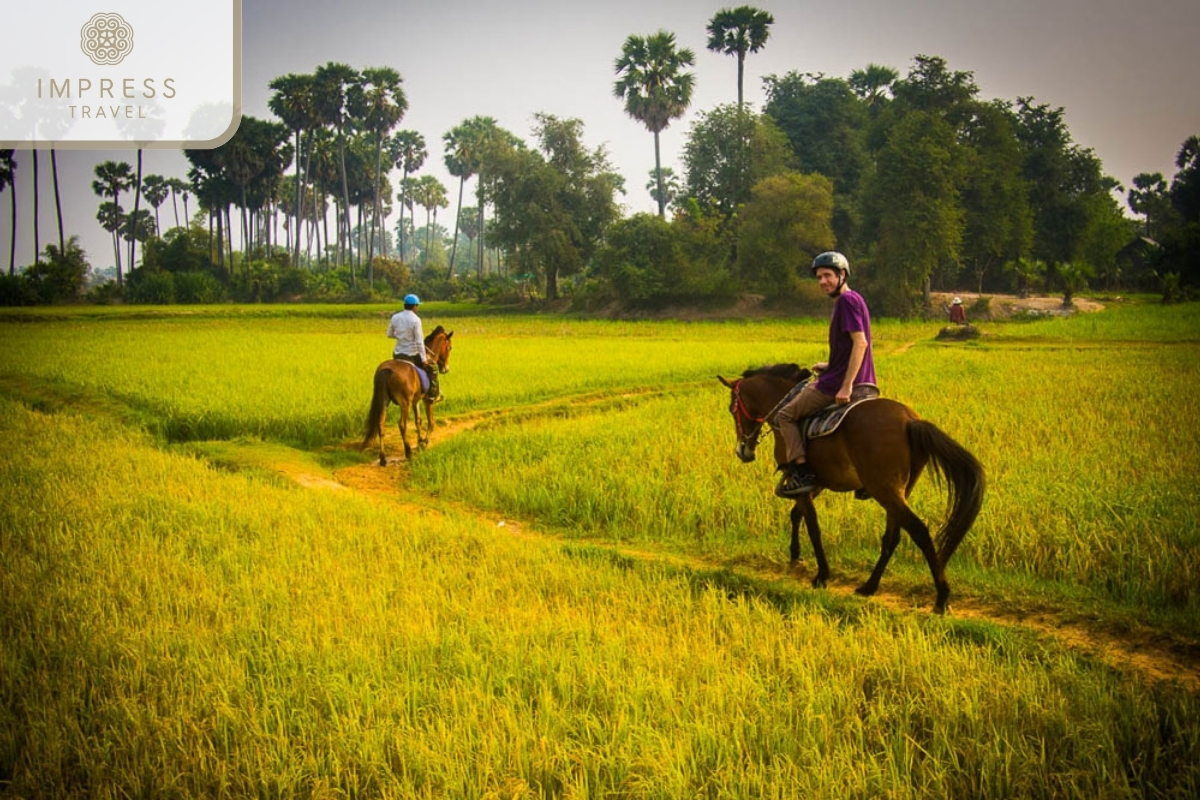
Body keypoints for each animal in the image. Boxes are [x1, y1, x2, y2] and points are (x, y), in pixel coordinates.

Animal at [360, 326, 453, 462]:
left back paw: (383, 458)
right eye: (450, 347)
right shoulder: (426, 400)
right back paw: (408, 452)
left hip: (384, 400)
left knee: (380, 423)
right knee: (402, 424)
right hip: (405, 403)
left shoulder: (416, 400)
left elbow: (418, 420)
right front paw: (424, 443)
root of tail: (386, 370)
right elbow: (431, 422)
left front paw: (420, 441)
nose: (445, 369)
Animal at [720, 362, 984, 614]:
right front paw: (795, 556)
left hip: (884, 489)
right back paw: (869, 586)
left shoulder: (802, 482)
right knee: (893, 536)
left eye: (732, 409)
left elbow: (813, 527)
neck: (784, 407)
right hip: (898, 492)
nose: (742, 451)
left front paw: (821, 575)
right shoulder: (813, 483)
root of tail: (911, 420)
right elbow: (797, 515)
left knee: (919, 531)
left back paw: (941, 597)